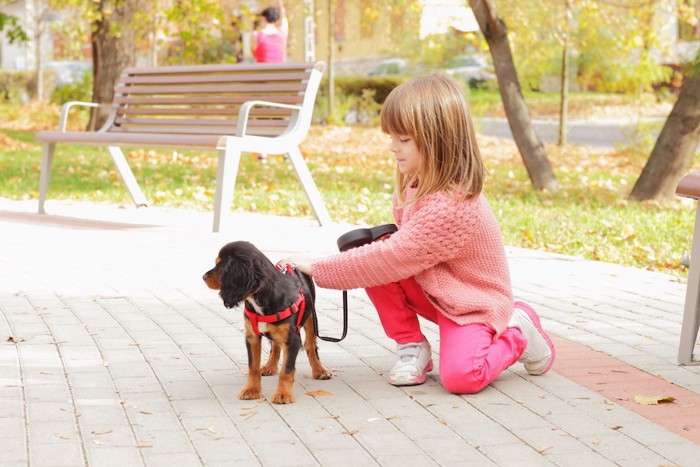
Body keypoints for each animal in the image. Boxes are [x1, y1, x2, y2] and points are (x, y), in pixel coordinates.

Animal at [202, 241, 330, 402]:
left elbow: (286, 370)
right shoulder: (252, 337)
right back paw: (270, 366)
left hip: (311, 318)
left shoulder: (292, 339)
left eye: (221, 267)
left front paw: (283, 394)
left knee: (310, 345)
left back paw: (319, 370)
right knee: (275, 345)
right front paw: (251, 390)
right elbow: (253, 367)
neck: (259, 297)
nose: (203, 276)